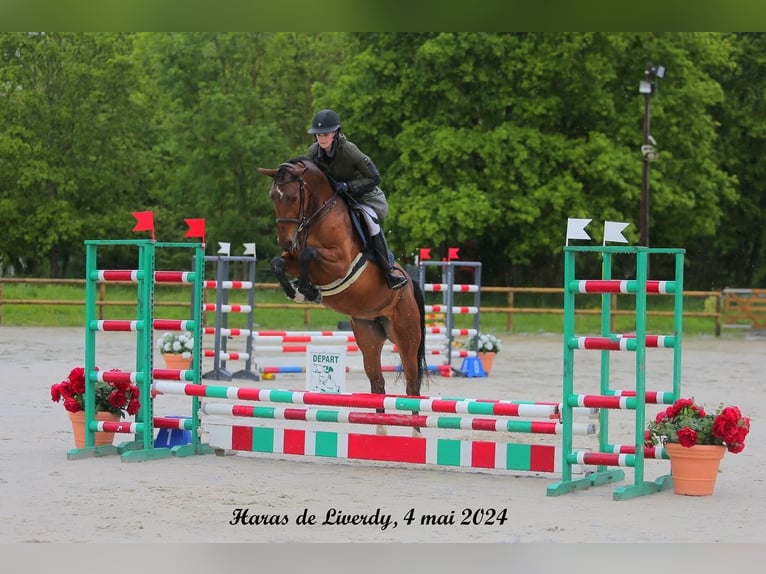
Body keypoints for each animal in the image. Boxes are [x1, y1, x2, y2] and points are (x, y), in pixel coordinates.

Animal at [256, 160, 426, 408]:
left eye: (293, 198)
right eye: (272, 197)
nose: (286, 242)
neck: (317, 216)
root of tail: (410, 284)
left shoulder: (340, 263)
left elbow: (308, 254)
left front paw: (308, 290)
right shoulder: (293, 260)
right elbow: (278, 263)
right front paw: (294, 291)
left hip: (406, 336)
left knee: (413, 386)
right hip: (369, 335)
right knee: (377, 383)